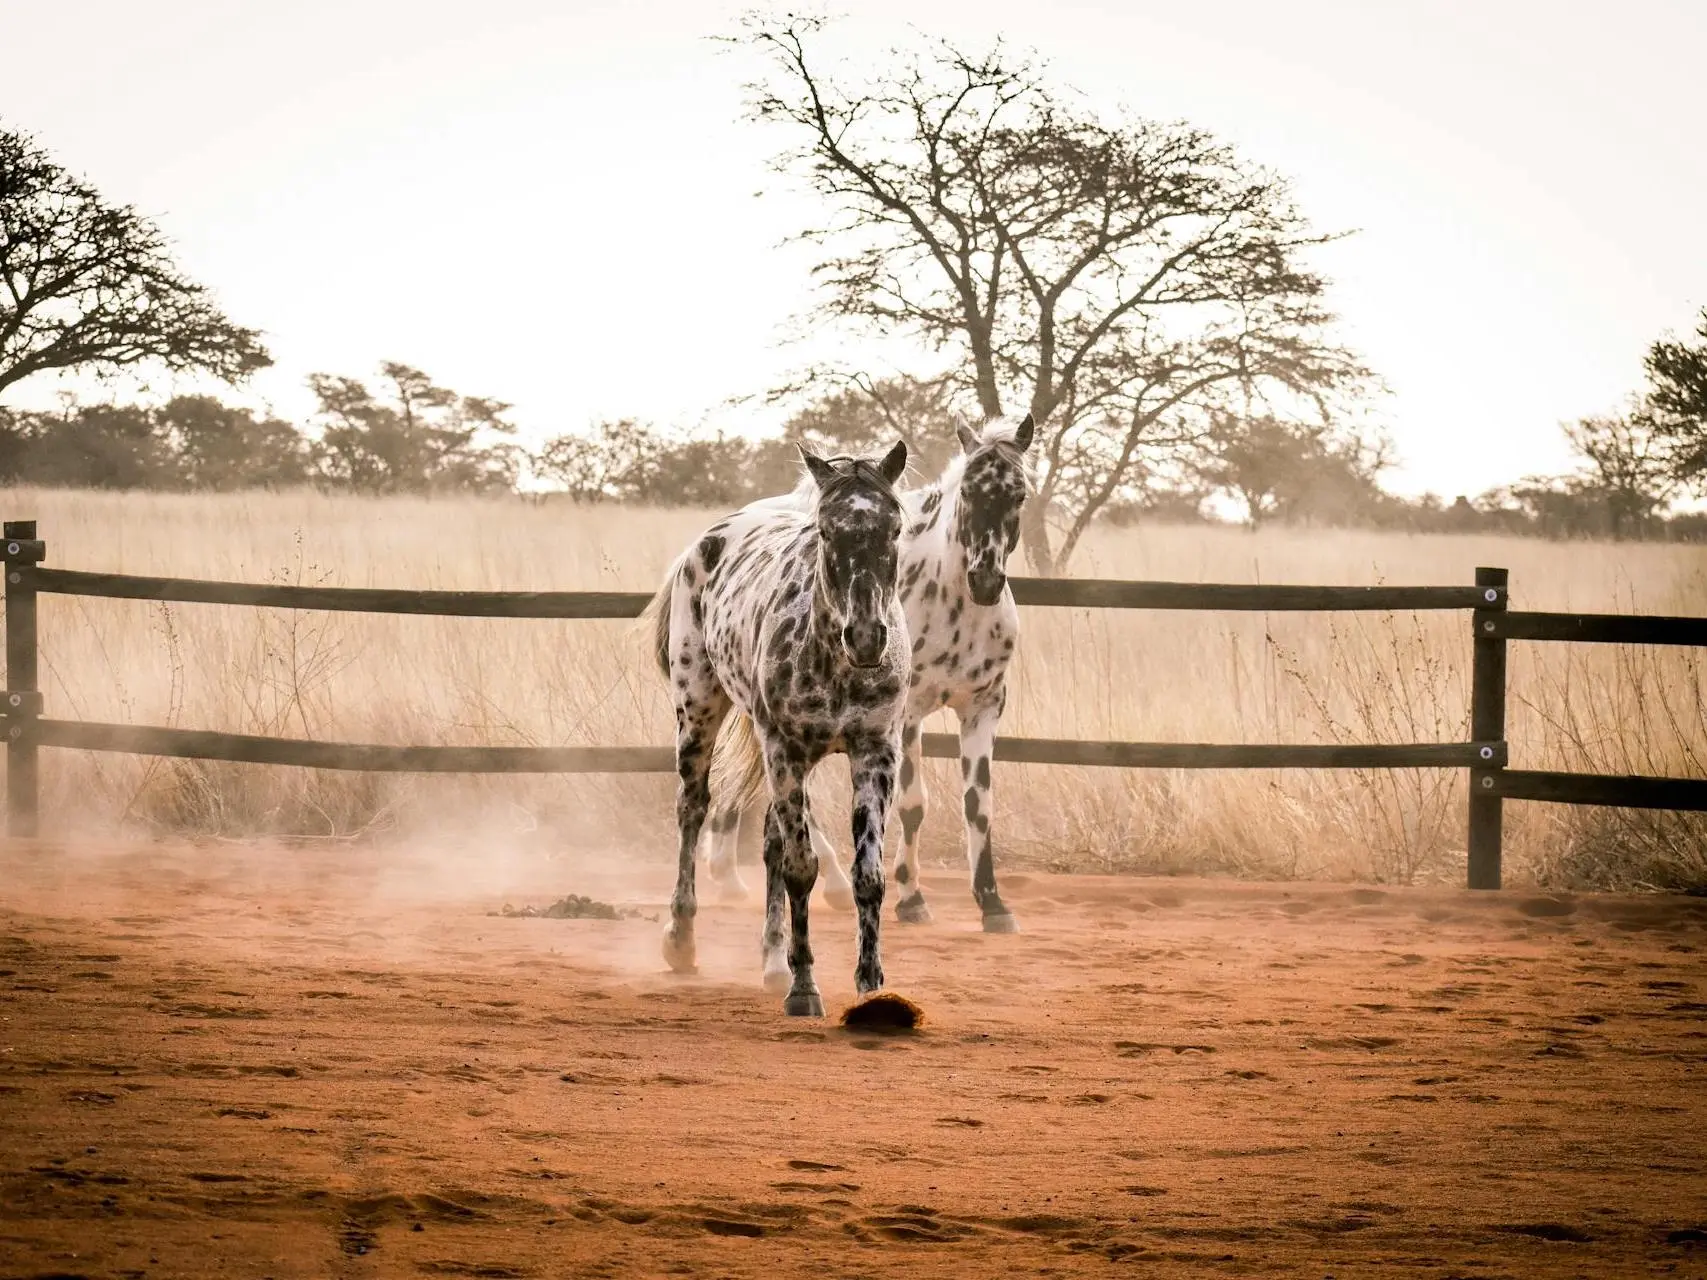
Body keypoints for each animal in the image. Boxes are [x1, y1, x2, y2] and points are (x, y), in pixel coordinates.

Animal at [638, 447, 908, 1017]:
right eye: (825, 531)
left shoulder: (876, 754)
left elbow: (867, 876)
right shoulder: (784, 750)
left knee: (769, 842)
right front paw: (804, 988)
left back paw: (771, 960)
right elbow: (801, 867)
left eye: (895, 528)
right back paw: (681, 938)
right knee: (692, 809)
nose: (866, 637)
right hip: (698, 712)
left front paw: (872, 987)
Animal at [699, 416, 1031, 935]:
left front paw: (993, 903)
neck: (953, 603)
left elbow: (978, 806)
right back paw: (829, 884)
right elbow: (913, 807)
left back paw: (728, 877)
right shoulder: (907, 715)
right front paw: (912, 898)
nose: (985, 581)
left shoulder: (984, 706)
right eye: (967, 493)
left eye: (1019, 495)